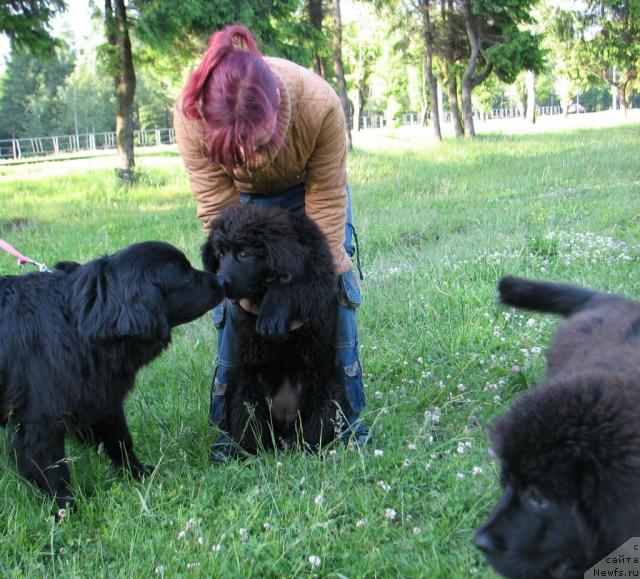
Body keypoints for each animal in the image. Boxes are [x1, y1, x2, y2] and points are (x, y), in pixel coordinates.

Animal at [0, 242, 224, 510]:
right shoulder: (37, 421)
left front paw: (137, 474)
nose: (222, 280)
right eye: (187, 275)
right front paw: (67, 508)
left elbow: (121, 442)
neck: (80, 325)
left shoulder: (104, 399)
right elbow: (52, 469)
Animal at [201, 204, 350, 454]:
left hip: (328, 397)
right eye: (220, 255)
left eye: (244, 254)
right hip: (246, 397)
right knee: (253, 437)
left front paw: (274, 307)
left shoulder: (319, 274)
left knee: (312, 435)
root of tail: (284, 430)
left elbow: (299, 280)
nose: (219, 283)